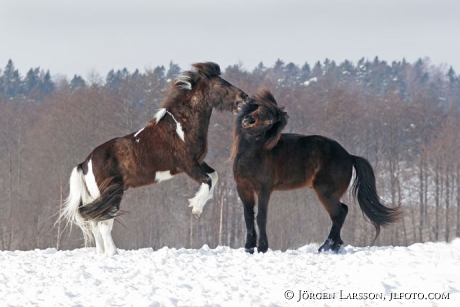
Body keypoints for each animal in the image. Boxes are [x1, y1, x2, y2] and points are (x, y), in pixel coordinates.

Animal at [61, 62, 250, 255]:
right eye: (219, 83)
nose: (244, 97)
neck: (181, 126)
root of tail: (85, 163)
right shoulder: (188, 165)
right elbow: (208, 181)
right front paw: (196, 209)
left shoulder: (199, 161)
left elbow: (214, 176)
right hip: (111, 193)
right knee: (104, 223)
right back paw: (113, 252)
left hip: (96, 196)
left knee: (95, 222)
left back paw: (102, 252)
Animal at [232, 89, 400, 255]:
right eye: (260, 108)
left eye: (270, 121)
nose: (248, 120)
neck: (255, 153)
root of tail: (349, 156)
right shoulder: (243, 189)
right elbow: (248, 216)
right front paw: (249, 247)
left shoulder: (264, 190)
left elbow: (261, 217)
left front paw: (262, 248)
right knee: (342, 211)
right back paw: (334, 246)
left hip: (325, 193)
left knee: (339, 214)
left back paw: (326, 247)